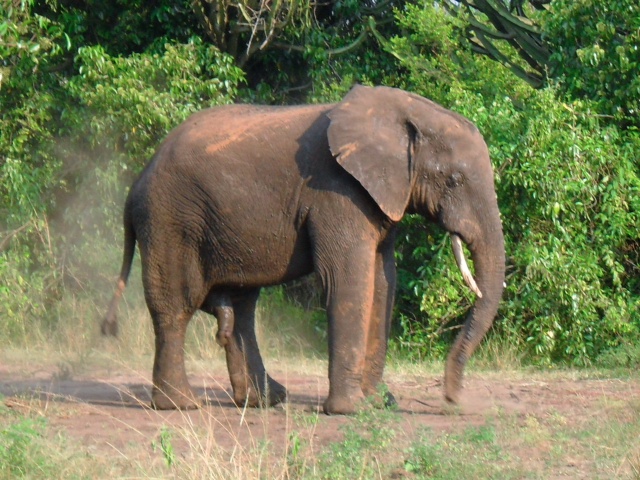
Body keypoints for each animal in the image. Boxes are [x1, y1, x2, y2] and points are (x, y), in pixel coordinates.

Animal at [102, 85, 505, 414]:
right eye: (454, 180)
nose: (452, 400)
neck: (399, 110)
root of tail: (136, 182)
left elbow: (383, 280)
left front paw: (380, 404)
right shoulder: (337, 192)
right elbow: (348, 280)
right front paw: (352, 410)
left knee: (241, 308)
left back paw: (264, 399)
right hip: (169, 220)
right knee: (175, 305)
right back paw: (181, 405)